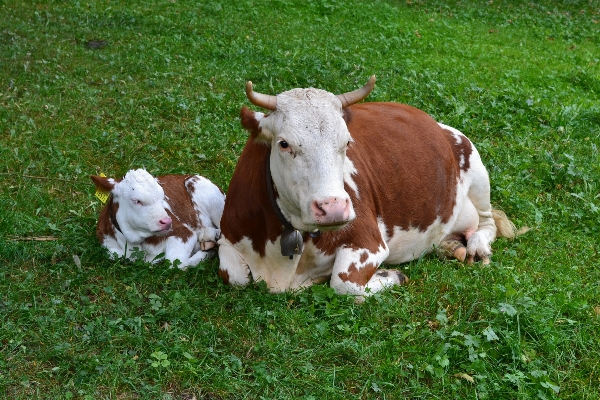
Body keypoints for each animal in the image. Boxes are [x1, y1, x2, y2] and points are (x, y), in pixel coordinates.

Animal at [91, 167, 225, 270]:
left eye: (162, 197)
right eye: (136, 200)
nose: (167, 221)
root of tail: (188, 175)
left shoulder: (183, 232)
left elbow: (174, 263)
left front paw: (206, 252)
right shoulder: (108, 247)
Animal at [218, 76, 512, 296]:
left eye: (347, 142)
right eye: (283, 143)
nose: (333, 208)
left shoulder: (369, 242)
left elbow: (343, 283)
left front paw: (392, 275)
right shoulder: (228, 236)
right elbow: (233, 275)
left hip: (476, 168)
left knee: (487, 223)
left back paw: (476, 247)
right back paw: (449, 247)